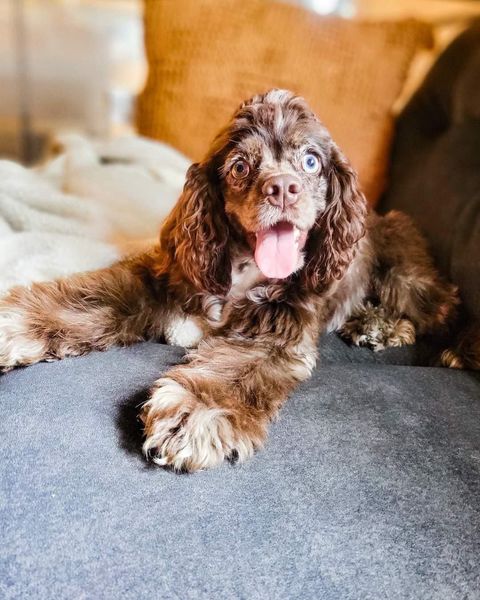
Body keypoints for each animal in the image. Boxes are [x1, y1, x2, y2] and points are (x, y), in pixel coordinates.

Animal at [0, 89, 467, 472]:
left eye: (311, 160)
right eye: (240, 166)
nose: (283, 188)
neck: (244, 273)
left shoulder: (276, 330)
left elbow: (233, 369)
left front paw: (193, 413)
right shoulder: (158, 278)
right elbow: (94, 297)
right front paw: (16, 323)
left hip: (404, 274)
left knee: (443, 305)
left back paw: (435, 344)